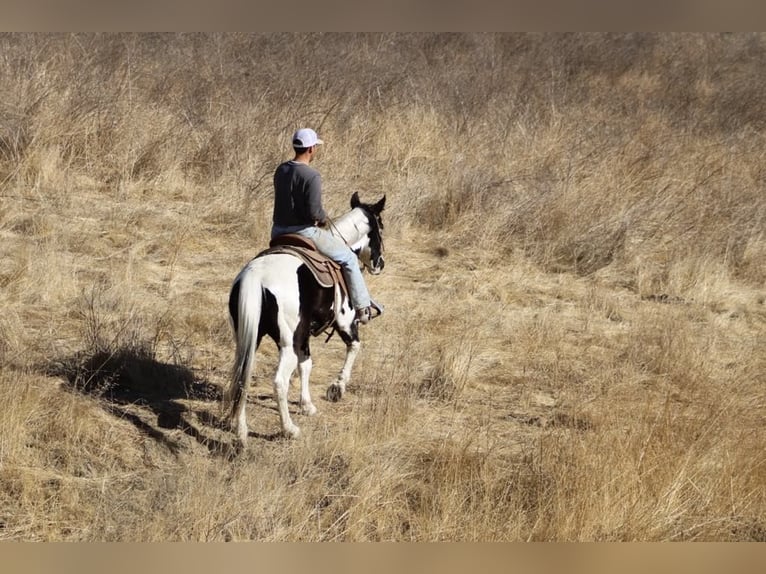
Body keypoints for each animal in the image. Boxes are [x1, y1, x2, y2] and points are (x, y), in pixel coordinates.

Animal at [225, 194, 388, 446]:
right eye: (380, 227)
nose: (380, 264)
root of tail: (255, 276)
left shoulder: (304, 337)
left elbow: (306, 365)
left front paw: (307, 405)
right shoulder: (345, 321)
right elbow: (354, 346)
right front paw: (337, 388)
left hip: (247, 339)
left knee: (243, 375)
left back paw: (241, 432)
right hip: (287, 344)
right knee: (279, 382)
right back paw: (289, 429)